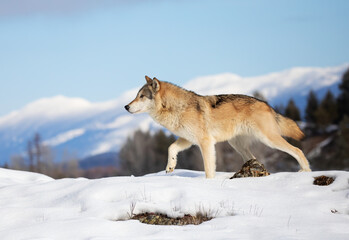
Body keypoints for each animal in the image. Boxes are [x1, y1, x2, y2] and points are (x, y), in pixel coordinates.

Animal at [124, 75, 310, 178]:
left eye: (141, 96)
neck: (176, 107)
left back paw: (305, 171)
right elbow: (171, 148)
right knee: (256, 159)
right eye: (136, 95)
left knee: (298, 150)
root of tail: (267, 104)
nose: (126, 106)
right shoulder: (188, 139)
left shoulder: (205, 142)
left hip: (268, 139)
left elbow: (208, 169)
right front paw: (170, 166)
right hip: (237, 145)